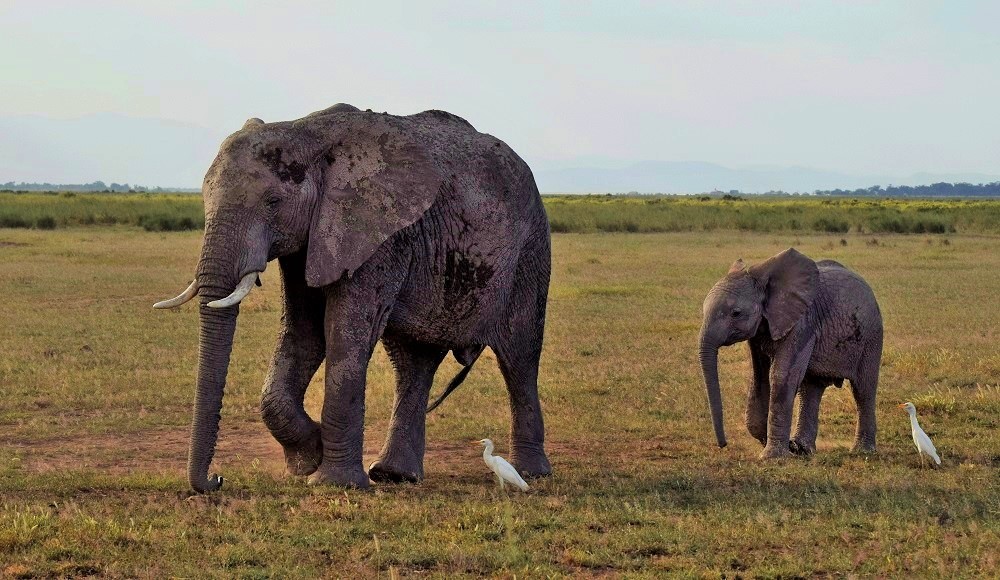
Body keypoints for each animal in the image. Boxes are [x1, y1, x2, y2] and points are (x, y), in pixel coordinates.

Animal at [154, 103, 556, 490]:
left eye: (273, 201)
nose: (216, 480)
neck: (306, 131)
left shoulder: (380, 235)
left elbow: (344, 334)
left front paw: (333, 481)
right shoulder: (311, 240)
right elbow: (304, 332)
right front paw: (310, 456)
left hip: (531, 249)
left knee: (519, 355)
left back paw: (530, 473)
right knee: (413, 363)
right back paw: (395, 476)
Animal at [696, 247, 884, 460]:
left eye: (736, 313)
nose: (723, 444)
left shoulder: (802, 322)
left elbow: (781, 376)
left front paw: (773, 457)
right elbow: (759, 378)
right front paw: (783, 446)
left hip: (871, 335)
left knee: (863, 389)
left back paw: (861, 451)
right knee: (810, 389)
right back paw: (804, 450)